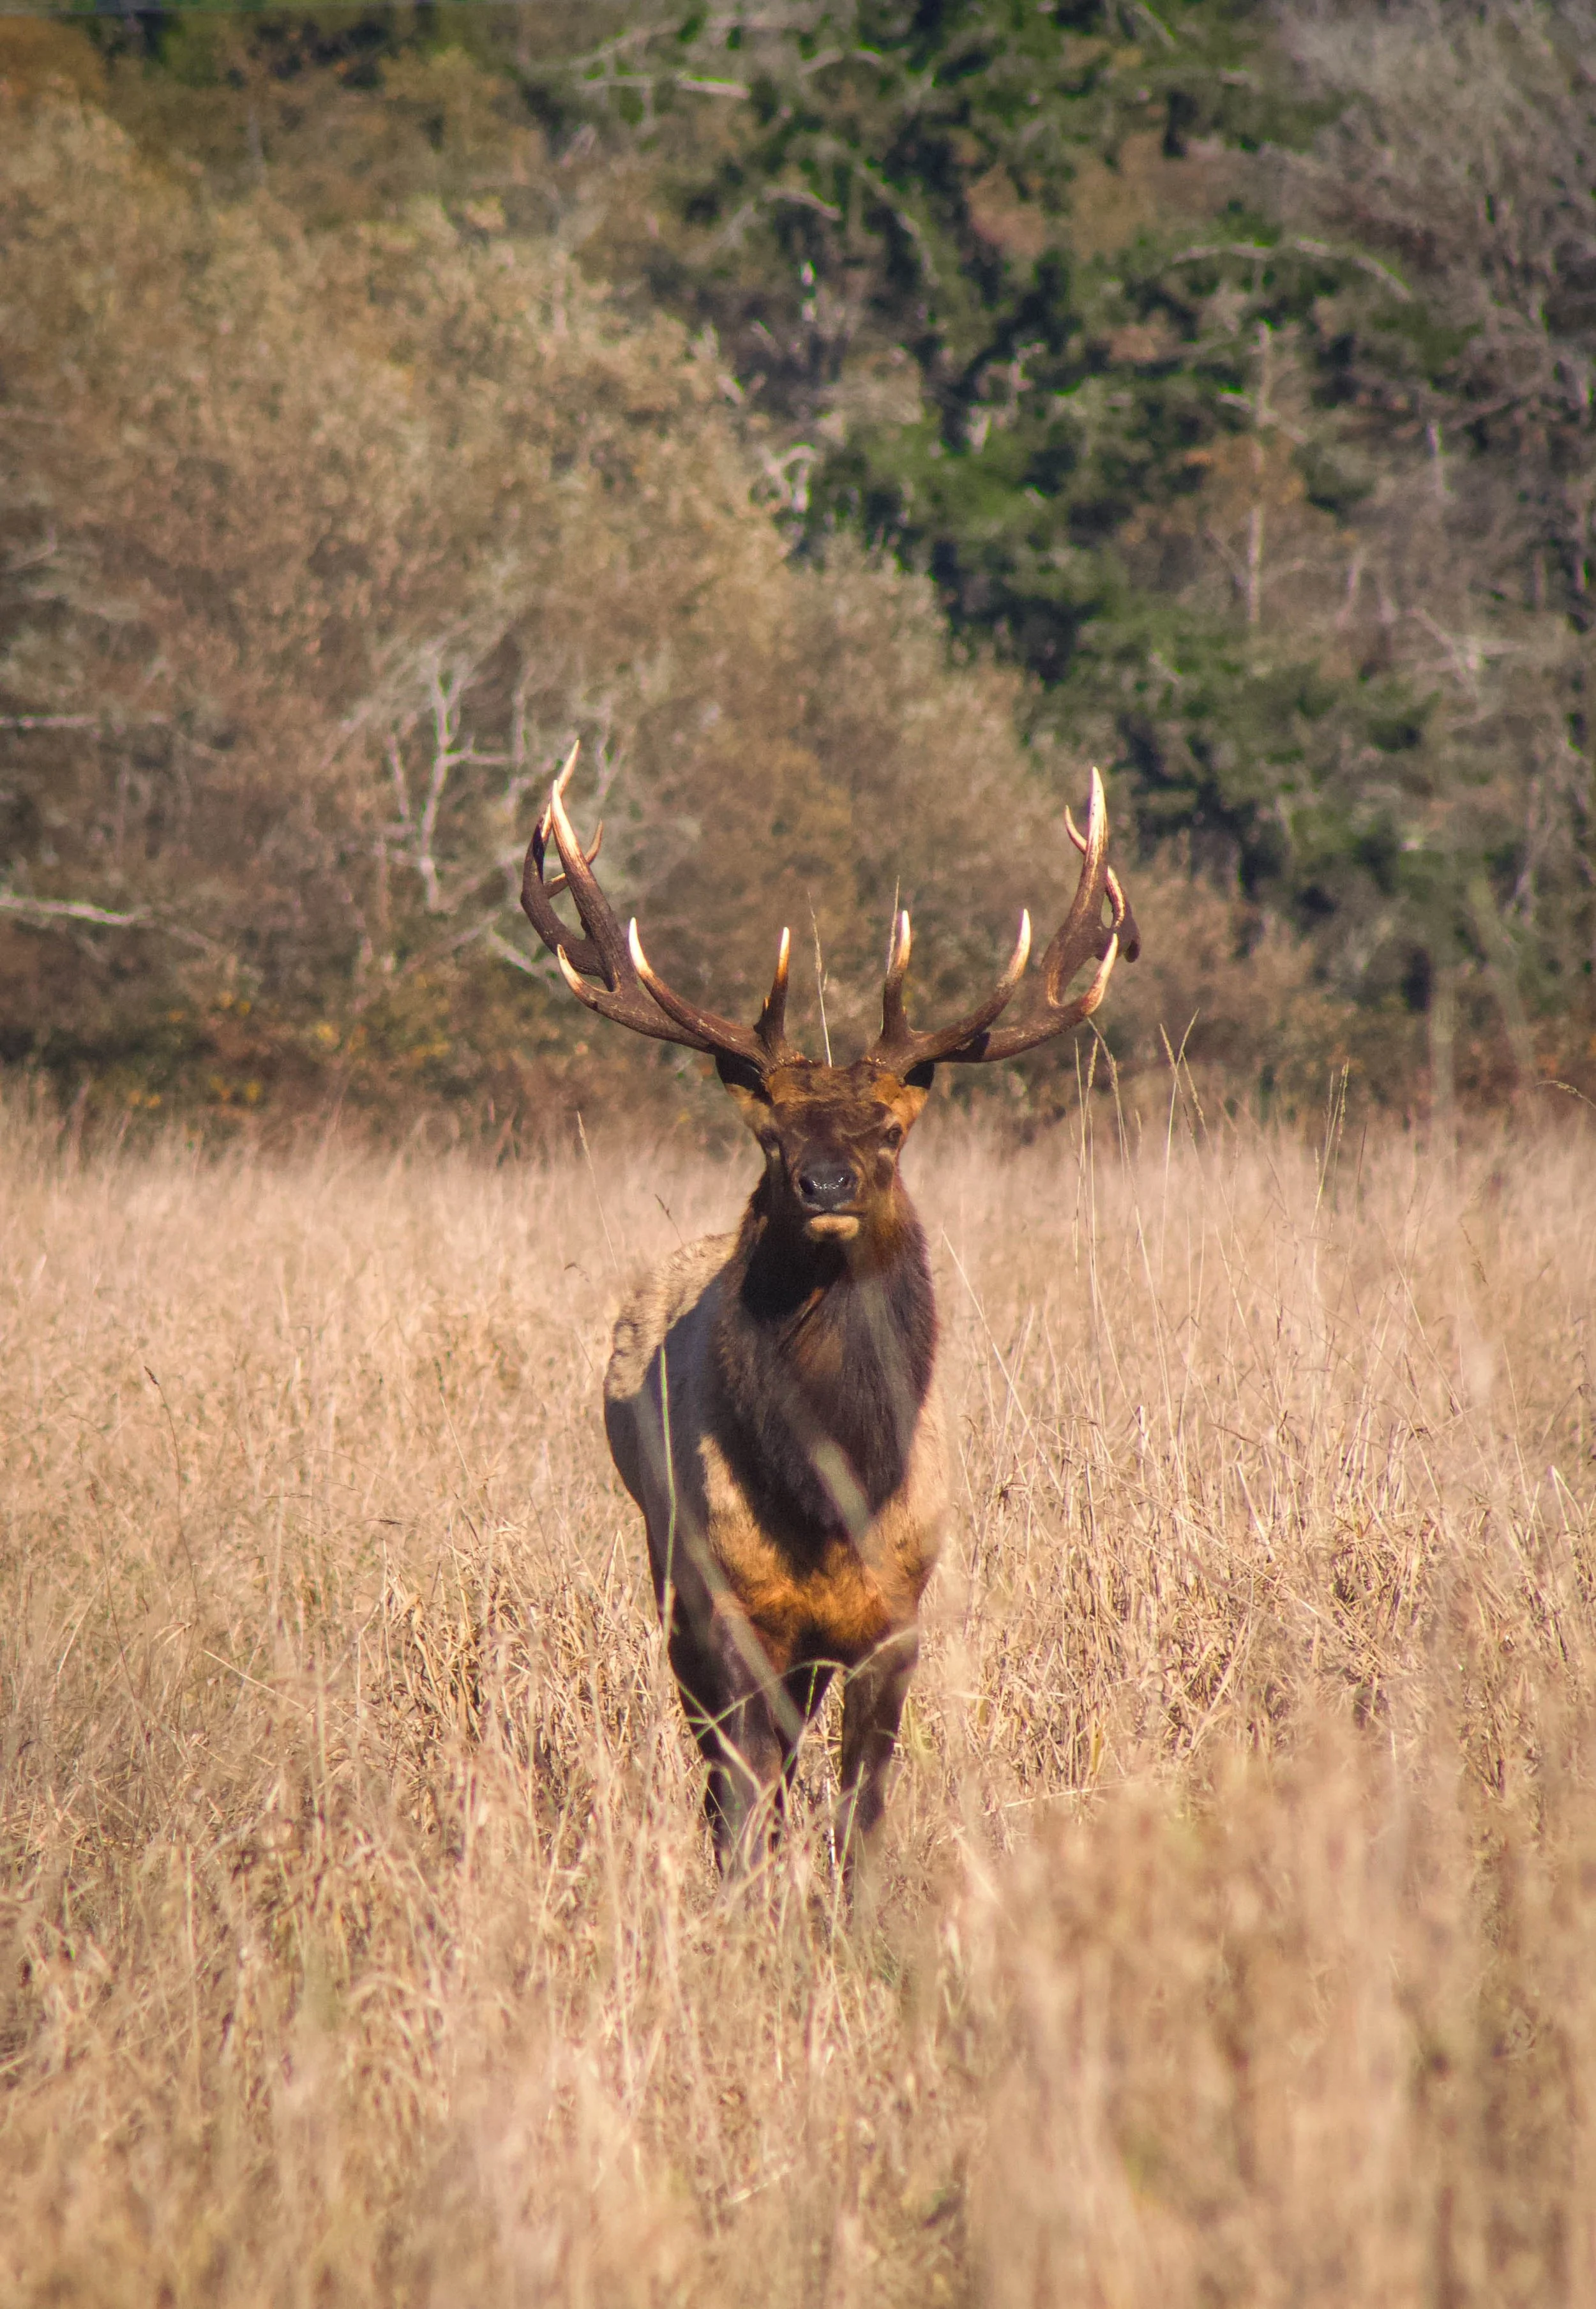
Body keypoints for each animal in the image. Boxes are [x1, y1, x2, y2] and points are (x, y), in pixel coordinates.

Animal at [520, 750, 1137, 1882]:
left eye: (890, 1128)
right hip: (667, 1569)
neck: (830, 1481)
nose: (825, 1182)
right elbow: (743, 1798)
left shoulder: (898, 1616)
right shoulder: (729, 1605)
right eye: (772, 1135)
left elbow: (862, 1808)